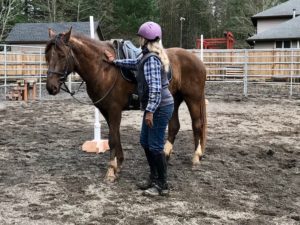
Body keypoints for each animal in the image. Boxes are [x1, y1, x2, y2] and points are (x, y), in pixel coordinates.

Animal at [45, 27, 207, 183]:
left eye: (62, 55)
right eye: (47, 56)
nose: (51, 87)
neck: (103, 68)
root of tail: (197, 60)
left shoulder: (114, 110)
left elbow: (112, 139)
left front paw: (111, 172)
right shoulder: (106, 111)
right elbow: (116, 136)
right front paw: (119, 165)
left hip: (193, 98)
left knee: (197, 125)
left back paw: (196, 157)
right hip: (175, 100)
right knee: (174, 126)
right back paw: (166, 155)